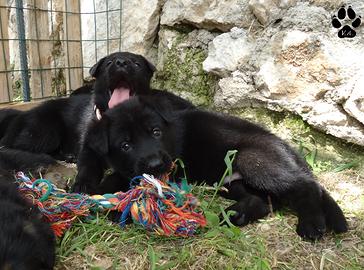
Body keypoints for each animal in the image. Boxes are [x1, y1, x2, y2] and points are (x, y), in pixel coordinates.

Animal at [77, 97, 350, 240]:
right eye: (125, 145)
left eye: (155, 132)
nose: (156, 164)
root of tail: (286, 146)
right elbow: (114, 174)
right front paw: (89, 190)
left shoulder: (172, 169)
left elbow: (126, 180)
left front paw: (118, 206)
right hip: (231, 182)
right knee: (264, 202)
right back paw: (234, 215)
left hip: (251, 159)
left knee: (306, 185)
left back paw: (311, 223)